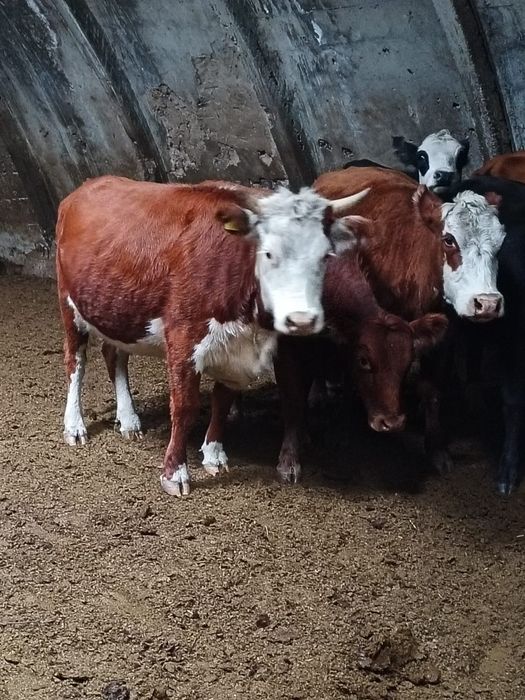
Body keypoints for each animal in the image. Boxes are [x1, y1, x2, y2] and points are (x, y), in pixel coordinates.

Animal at [56, 175, 368, 497]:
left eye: (325, 255)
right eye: (269, 253)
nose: (302, 319)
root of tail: (88, 185)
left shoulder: (237, 350)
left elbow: (224, 398)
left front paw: (214, 454)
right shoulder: (183, 337)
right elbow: (184, 407)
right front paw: (175, 473)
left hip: (115, 311)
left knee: (114, 357)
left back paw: (129, 419)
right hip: (69, 305)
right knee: (75, 363)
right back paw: (75, 425)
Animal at [314, 166, 506, 471]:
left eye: (500, 242)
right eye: (449, 239)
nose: (487, 303)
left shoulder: (442, 336)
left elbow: (432, 389)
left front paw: (437, 448)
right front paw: (343, 431)